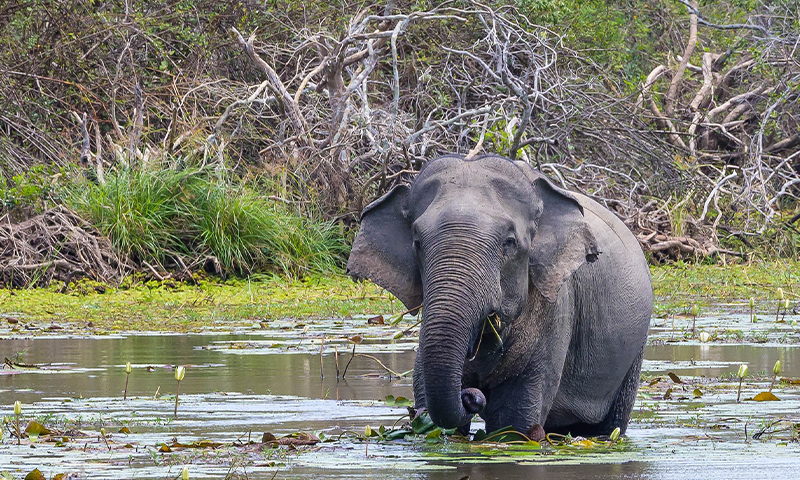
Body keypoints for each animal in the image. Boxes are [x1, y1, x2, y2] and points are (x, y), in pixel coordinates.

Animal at [346, 154, 652, 438]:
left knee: (606, 426)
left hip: (634, 351)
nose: (471, 395)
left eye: (509, 242)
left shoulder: (557, 307)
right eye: (417, 242)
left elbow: (513, 423)